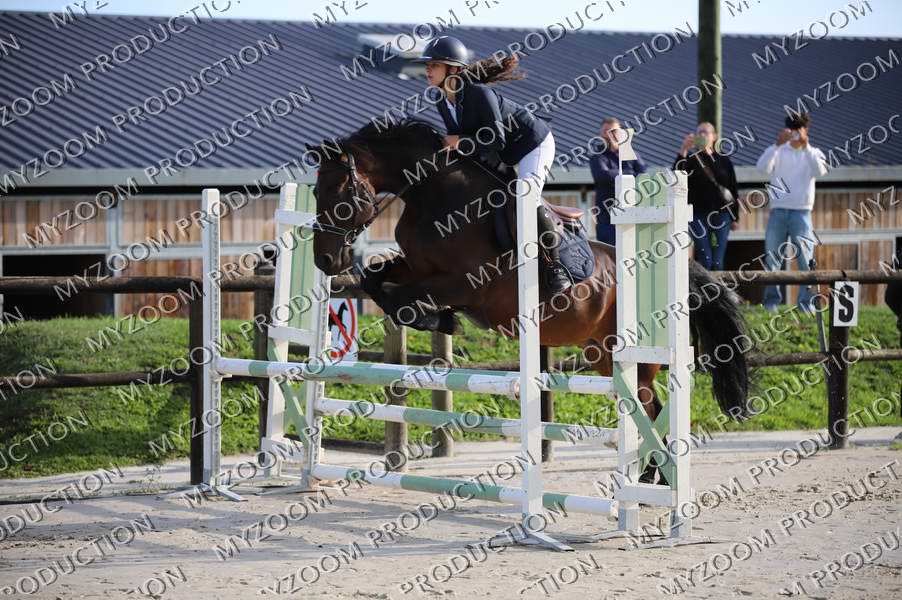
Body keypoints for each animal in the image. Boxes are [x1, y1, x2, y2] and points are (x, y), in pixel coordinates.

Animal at [307, 119, 750, 480]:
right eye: (315, 191)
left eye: (341, 191)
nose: (325, 260)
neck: (432, 196)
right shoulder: (414, 267)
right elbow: (376, 281)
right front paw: (437, 320)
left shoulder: (467, 285)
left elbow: (401, 296)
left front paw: (440, 320)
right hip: (603, 354)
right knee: (649, 407)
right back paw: (650, 478)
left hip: (634, 359)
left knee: (649, 409)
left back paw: (652, 480)